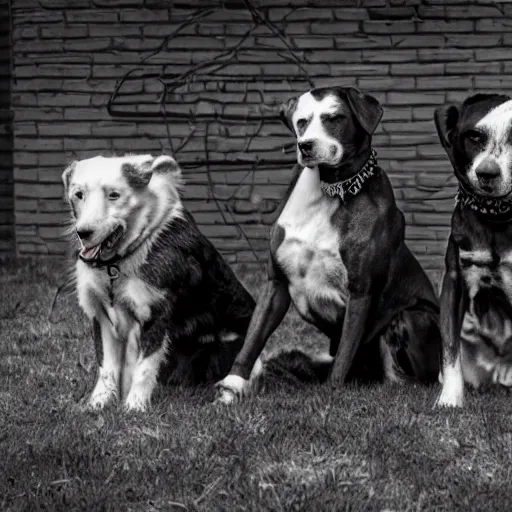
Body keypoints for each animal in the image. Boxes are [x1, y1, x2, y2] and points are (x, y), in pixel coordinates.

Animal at [61, 153, 258, 412]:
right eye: (78, 194)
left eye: (114, 194)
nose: (83, 232)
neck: (117, 263)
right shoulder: (102, 317)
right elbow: (106, 369)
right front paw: (98, 404)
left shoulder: (154, 315)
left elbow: (143, 369)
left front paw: (134, 408)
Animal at [215, 87, 440, 404]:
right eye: (301, 122)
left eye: (334, 118)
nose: (305, 146)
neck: (329, 187)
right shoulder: (275, 284)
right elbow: (252, 339)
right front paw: (232, 387)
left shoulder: (360, 293)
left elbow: (345, 351)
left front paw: (329, 394)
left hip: (412, 317)